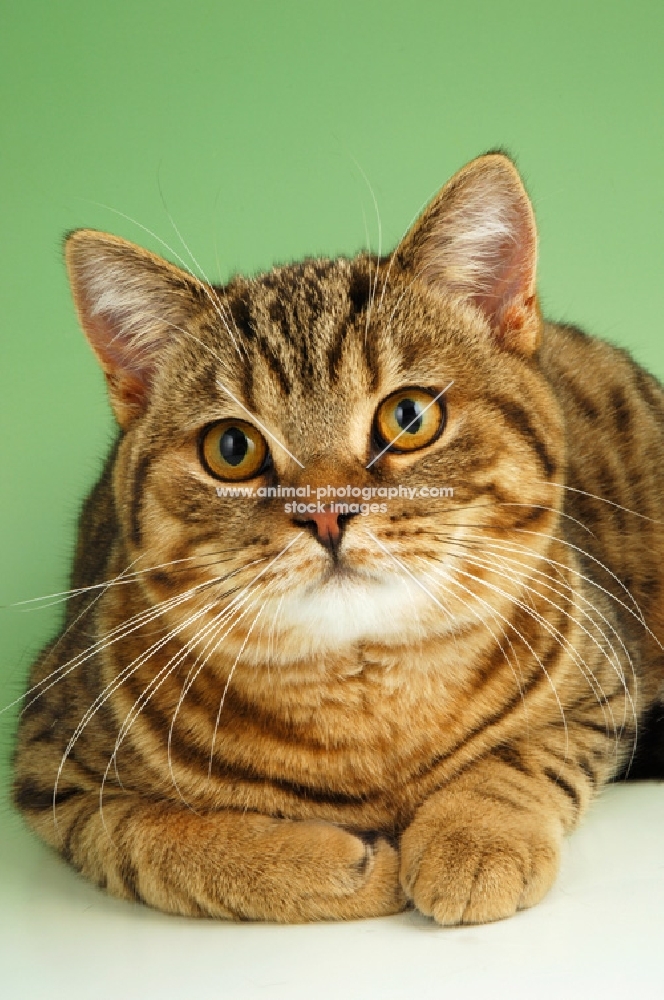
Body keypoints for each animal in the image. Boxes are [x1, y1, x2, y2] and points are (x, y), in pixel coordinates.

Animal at [11, 152, 664, 924]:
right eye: (231, 448)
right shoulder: (53, 768)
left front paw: (474, 833)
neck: (369, 714)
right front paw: (328, 864)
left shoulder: (606, 684)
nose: (326, 514)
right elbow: (168, 842)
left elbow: (527, 754)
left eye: (408, 418)